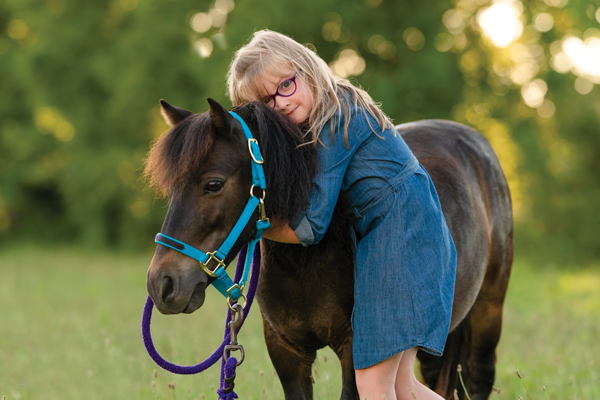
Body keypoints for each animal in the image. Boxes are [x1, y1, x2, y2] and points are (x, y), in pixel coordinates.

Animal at [144, 99, 510, 400]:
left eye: (213, 184)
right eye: (171, 189)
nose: (162, 284)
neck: (307, 260)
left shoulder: (355, 349)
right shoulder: (286, 350)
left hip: (487, 316)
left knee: (478, 378)